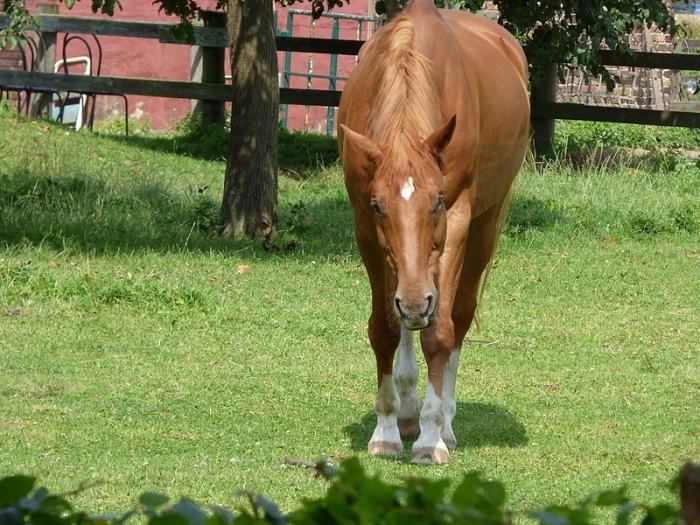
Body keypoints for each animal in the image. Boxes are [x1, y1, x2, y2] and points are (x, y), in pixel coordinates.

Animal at [337, 0, 530, 464]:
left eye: (438, 202)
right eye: (378, 206)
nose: (415, 300)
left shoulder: (457, 221)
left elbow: (440, 333)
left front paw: (430, 438)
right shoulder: (367, 230)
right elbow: (386, 328)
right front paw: (387, 429)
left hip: (483, 228)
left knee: (456, 316)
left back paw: (444, 422)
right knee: (408, 319)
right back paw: (409, 411)